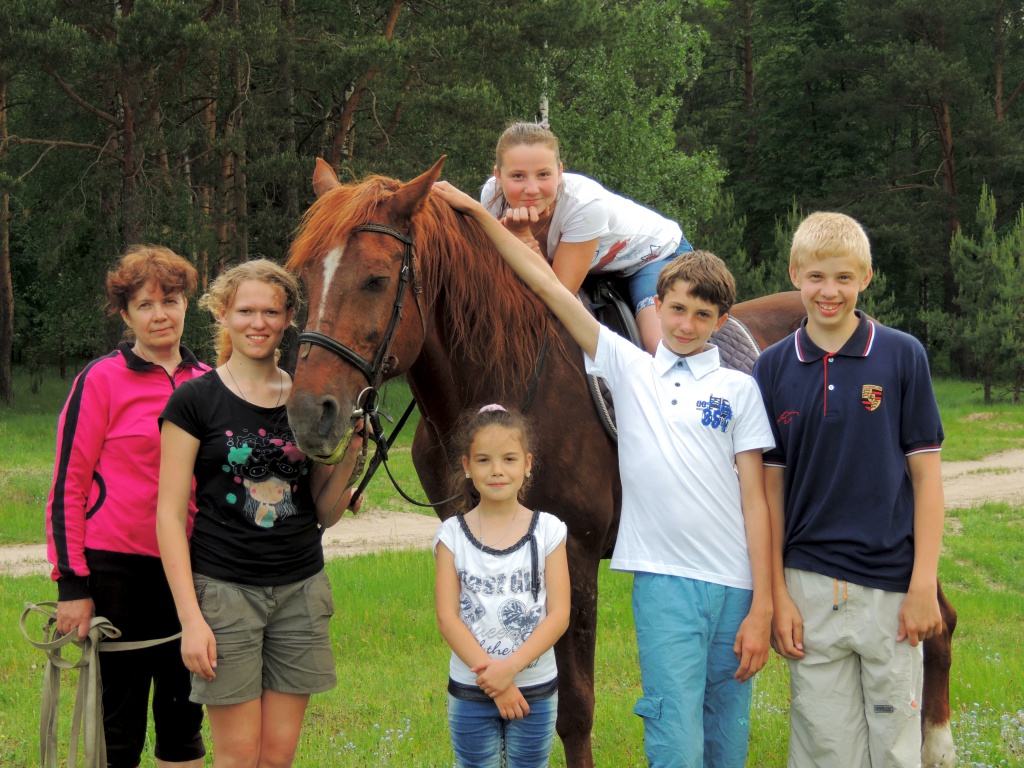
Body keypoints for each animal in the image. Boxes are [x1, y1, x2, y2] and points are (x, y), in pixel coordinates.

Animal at [284, 159, 954, 765]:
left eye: (375, 279)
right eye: (302, 279)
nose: (310, 412)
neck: (501, 383)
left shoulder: (574, 556)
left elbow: (575, 711)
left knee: (934, 619)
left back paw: (938, 744)